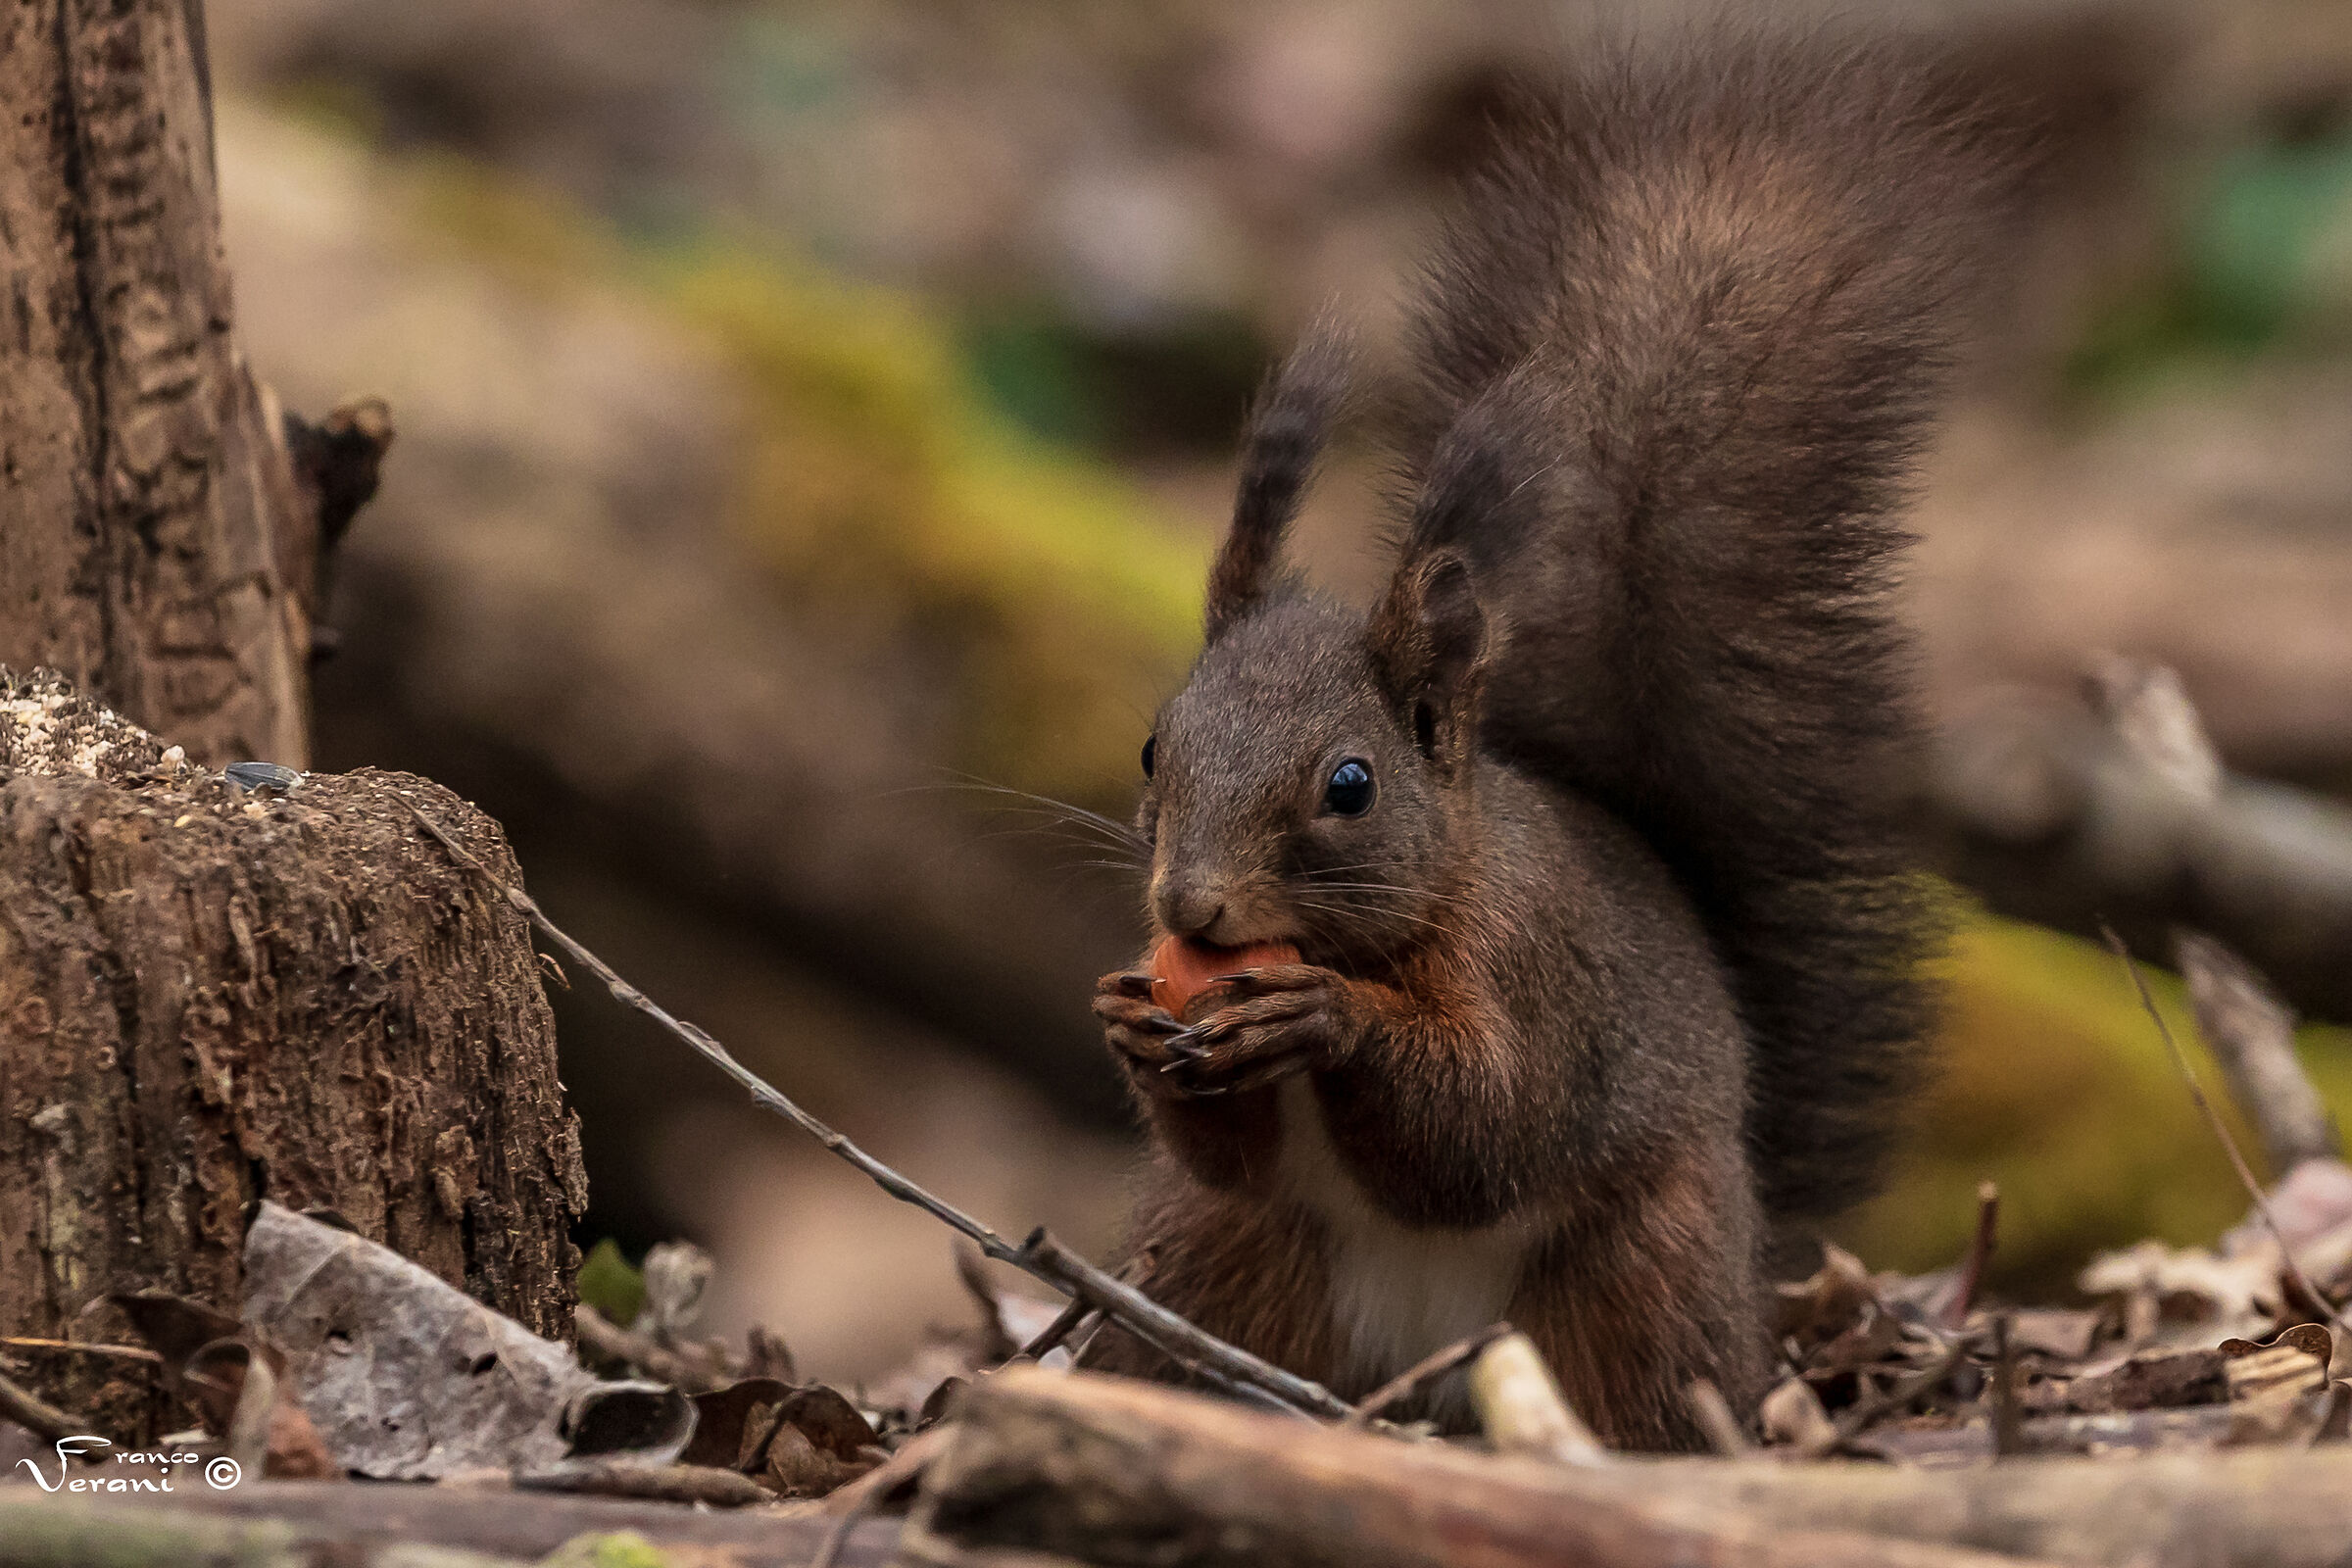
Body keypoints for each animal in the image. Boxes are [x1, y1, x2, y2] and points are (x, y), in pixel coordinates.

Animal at [1082, 28, 2037, 1450]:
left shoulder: (1543, 977)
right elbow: (1231, 1151)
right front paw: (1131, 1025)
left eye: (1351, 785)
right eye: (1155, 751)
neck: (1427, 897)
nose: (1189, 911)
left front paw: (1327, 1019)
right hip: (1223, 1260)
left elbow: (1485, 1131)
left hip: (1639, 1276)